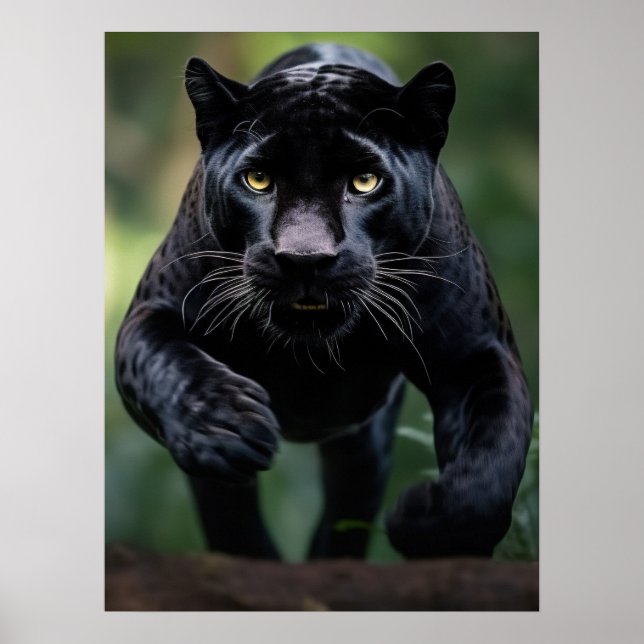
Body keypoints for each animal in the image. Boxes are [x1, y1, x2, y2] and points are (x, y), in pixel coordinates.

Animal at [115, 43, 533, 559]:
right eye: (257, 179)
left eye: (365, 181)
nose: (305, 259)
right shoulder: (152, 313)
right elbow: (167, 365)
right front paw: (227, 424)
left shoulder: (476, 355)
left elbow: (492, 461)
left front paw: (426, 523)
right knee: (230, 515)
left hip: (364, 447)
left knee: (343, 518)